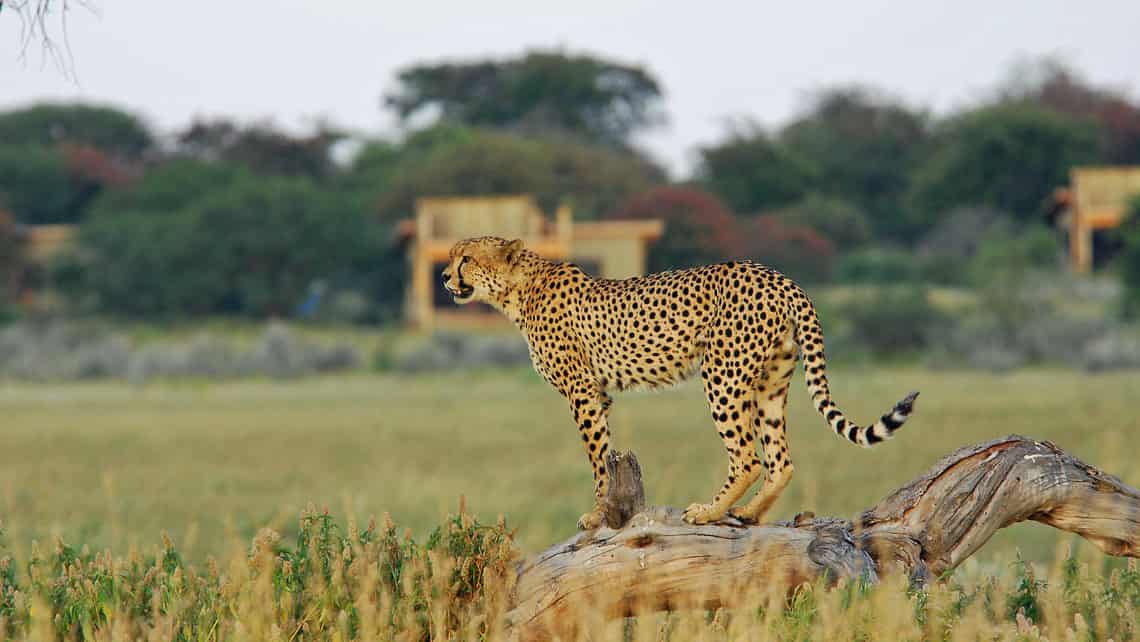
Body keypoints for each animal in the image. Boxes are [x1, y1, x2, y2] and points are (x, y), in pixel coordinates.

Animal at [437, 238, 916, 529]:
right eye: (453, 256)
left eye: (466, 259)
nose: (443, 277)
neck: (519, 290)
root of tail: (780, 277)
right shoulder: (600, 394)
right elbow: (607, 451)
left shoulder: (582, 392)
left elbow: (597, 460)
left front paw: (595, 516)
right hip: (770, 381)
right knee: (781, 461)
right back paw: (748, 514)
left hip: (722, 375)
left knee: (748, 457)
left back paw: (709, 510)